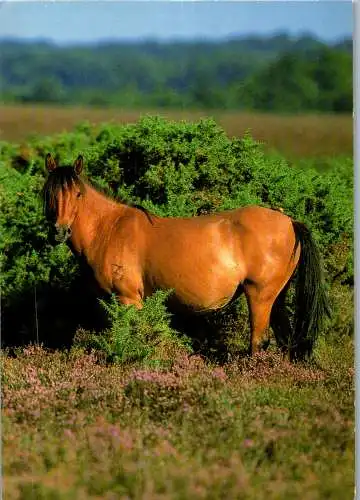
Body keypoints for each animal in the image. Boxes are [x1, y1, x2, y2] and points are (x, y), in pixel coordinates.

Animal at [41, 152, 330, 360]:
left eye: (78, 194)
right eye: (48, 194)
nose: (59, 231)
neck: (110, 228)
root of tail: (290, 221)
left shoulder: (128, 299)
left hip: (260, 295)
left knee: (259, 340)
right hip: (277, 297)